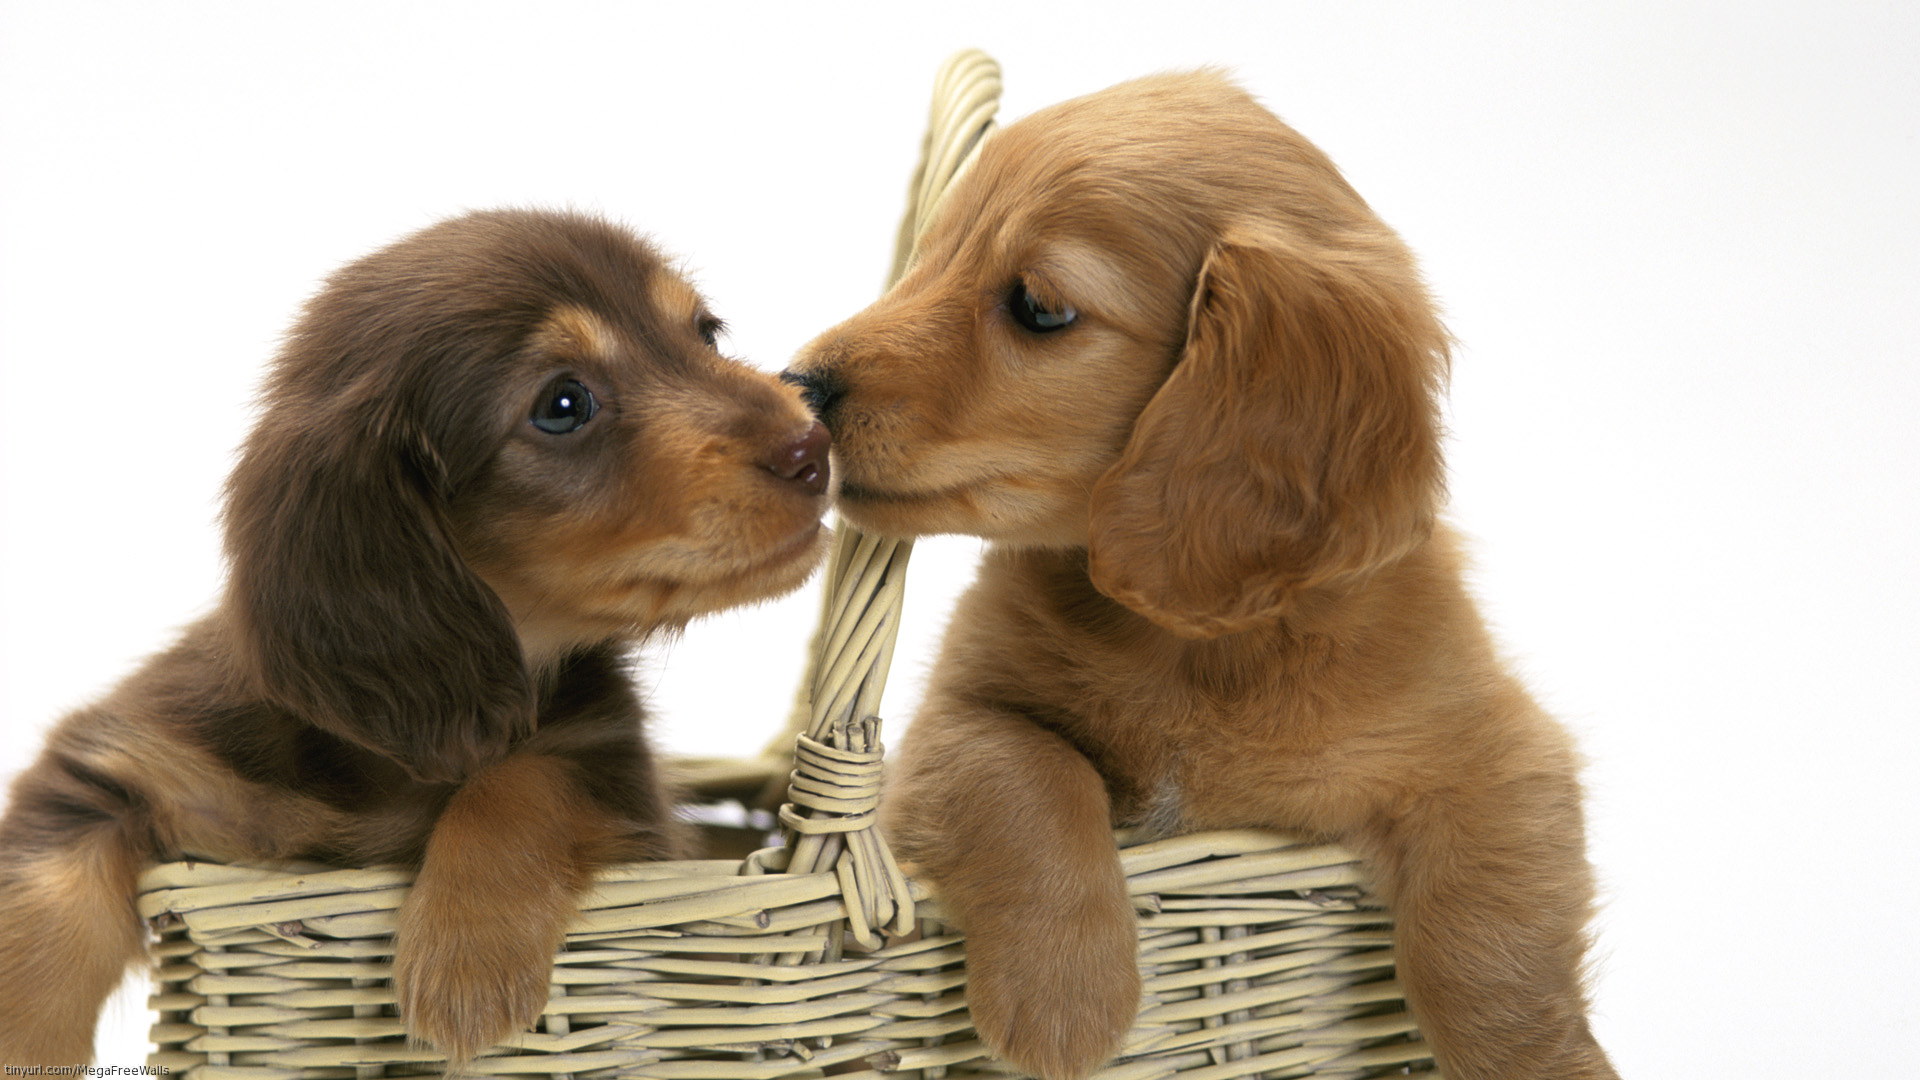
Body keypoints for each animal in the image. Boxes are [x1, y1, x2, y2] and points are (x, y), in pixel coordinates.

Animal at [0, 208, 829, 1060]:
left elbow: (524, 776)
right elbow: (44, 904)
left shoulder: (614, 770)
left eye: (705, 334)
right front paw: (22, 1045)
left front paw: (466, 957)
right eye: (564, 404)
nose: (813, 446)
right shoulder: (129, 759)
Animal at [787, 75, 1612, 1076]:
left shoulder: (1499, 752)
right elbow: (1026, 769)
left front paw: (1543, 1061)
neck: (1193, 646)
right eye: (932, 257)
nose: (798, 384)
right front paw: (1066, 993)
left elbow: (1491, 942)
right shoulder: (947, 724)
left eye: (1039, 307)